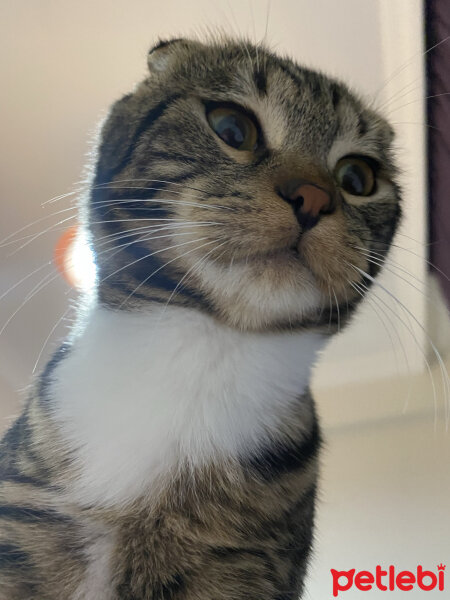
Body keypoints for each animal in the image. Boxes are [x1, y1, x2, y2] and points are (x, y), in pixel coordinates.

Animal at [0, 37, 400, 600]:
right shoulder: (26, 521)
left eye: (358, 178)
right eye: (232, 128)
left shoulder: (246, 564)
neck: (204, 350)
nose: (314, 196)